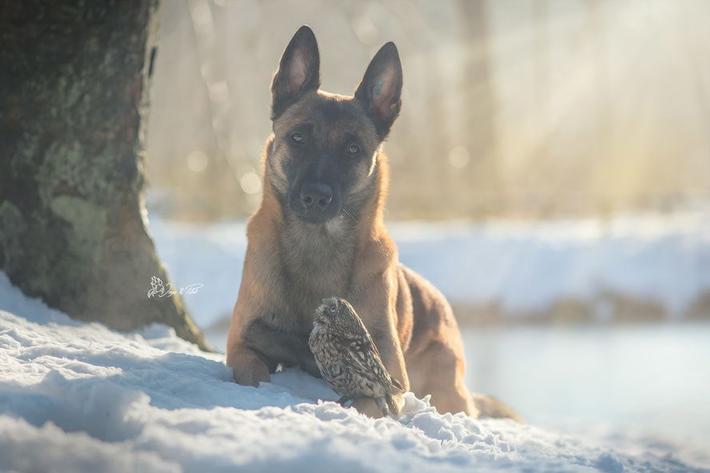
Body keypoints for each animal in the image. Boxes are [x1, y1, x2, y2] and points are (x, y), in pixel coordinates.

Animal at [228, 24, 516, 418]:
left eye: (352, 149)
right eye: (298, 137)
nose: (316, 196)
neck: (318, 244)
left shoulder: (387, 368)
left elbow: (369, 398)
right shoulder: (240, 345)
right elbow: (251, 371)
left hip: (446, 390)